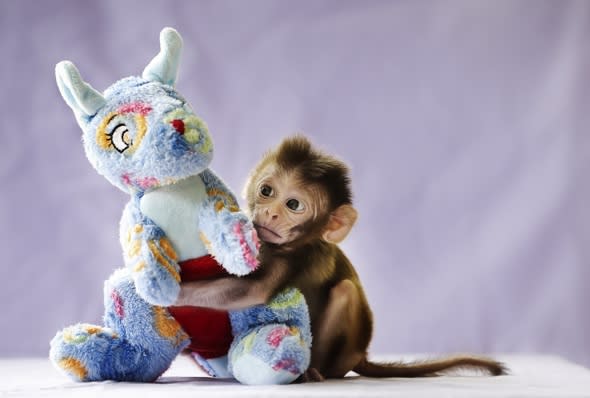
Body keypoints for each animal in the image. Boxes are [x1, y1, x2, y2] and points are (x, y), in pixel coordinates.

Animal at [177, 135, 508, 380]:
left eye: (293, 204)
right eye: (267, 190)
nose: (270, 213)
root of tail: (361, 357)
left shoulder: (298, 256)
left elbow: (254, 290)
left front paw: (173, 293)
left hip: (341, 356)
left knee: (344, 291)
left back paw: (312, 372)